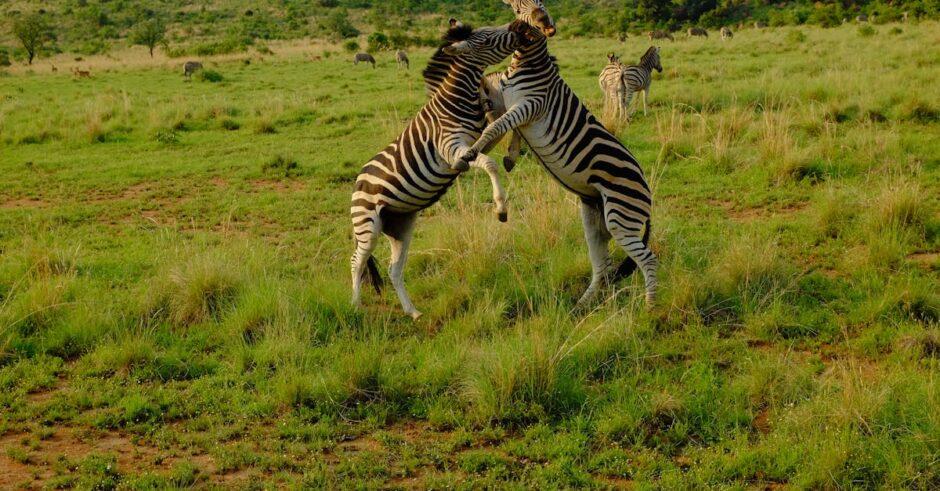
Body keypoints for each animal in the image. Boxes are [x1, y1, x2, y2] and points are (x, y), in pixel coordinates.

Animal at [348, 21, 536, 320]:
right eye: (488, 38)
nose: (518, 27)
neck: (457, 98)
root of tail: (357, 183)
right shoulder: (451, 149)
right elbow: (489, 164)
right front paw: (500, 207)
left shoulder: (477, 139)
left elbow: (505, 128)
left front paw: (512, 153)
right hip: (367, 224)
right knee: (357, 261)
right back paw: (355, 307)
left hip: (399, 226)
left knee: (394, 269)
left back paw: (413, 312)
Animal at [458, 26, 656, 308]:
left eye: (486, 37)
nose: (450, 47)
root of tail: (648, 195)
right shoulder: (514, 108)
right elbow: (500, 128)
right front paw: (500, 153)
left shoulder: (530, 105)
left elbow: (495, 127)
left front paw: (471, 152)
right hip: (595, 219)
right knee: (604, 265)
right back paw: (583, 305)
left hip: (622, 214)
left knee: (647, 259)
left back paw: (650, 308)